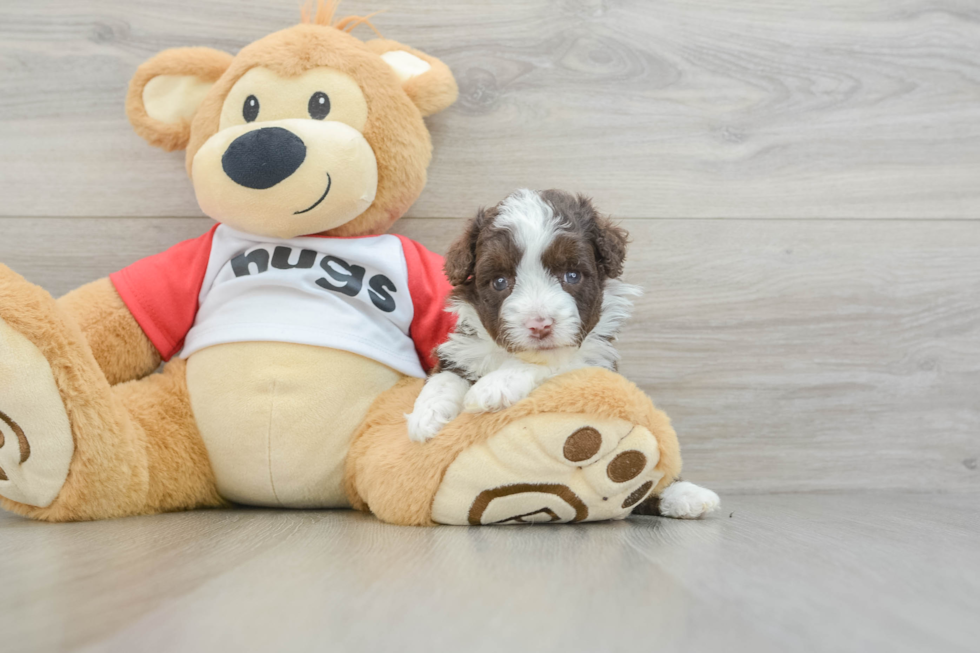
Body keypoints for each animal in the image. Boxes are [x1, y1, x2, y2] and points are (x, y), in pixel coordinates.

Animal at [402, 188, 640, 444]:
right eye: (499, 281)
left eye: (572, 275)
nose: (540, 326)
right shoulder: (463, 349)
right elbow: (444, 376)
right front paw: (426, 415)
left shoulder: (595, 362)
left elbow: (556, 362)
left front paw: (494, 385)